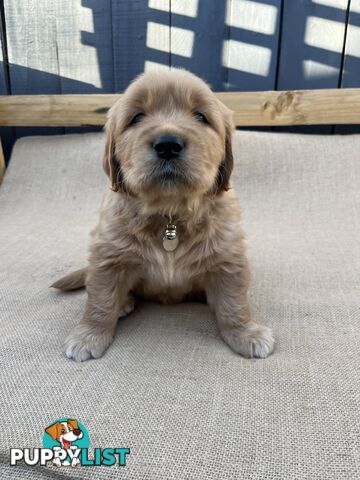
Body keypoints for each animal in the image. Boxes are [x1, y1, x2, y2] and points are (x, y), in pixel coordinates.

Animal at [52, 67, 274, 360]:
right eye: (136, 117)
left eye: (200, 116)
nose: (168, 144)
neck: (170, 215)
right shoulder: (108, 257)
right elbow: (100, 300)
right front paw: (88, 335)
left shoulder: (228, 259)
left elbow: (233, 303)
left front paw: (246, 332)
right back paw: (125, 303)